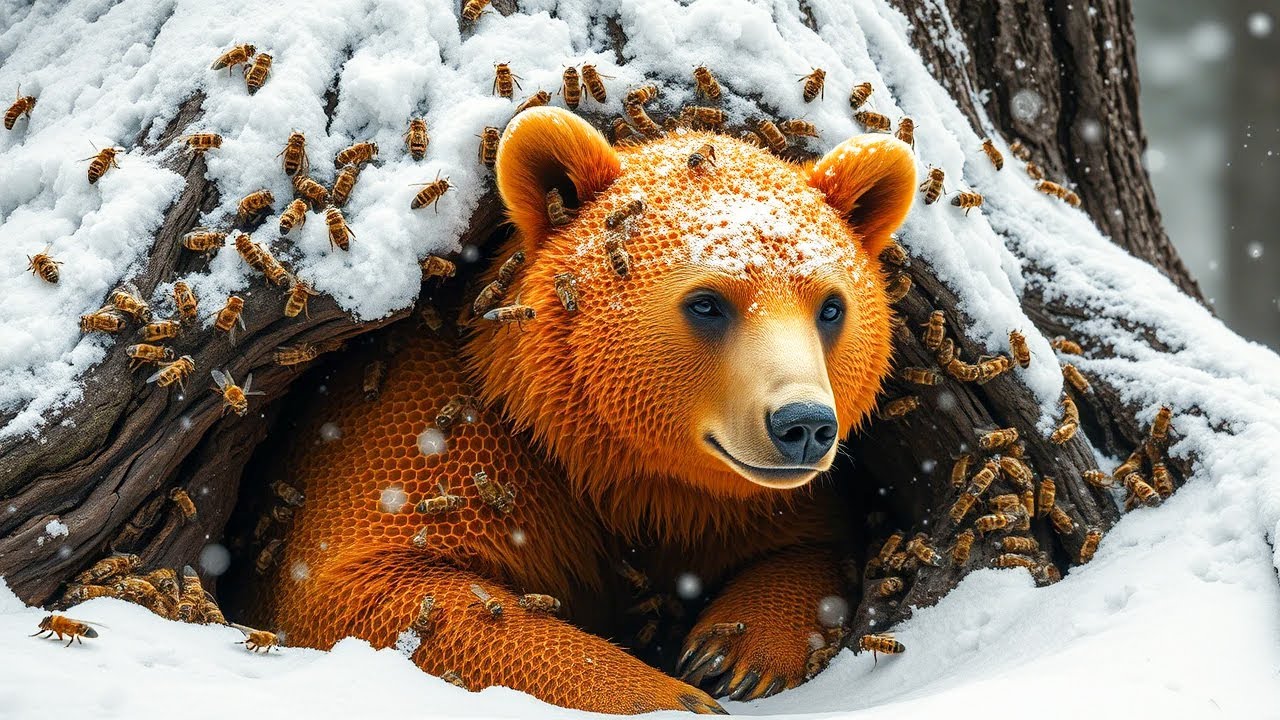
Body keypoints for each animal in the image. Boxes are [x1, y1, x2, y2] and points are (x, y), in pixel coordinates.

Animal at [257, 107, 916, 714]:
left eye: (832, 307)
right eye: (707, 303)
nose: (802, 425)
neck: (607, 463)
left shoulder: (726, 504)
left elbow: (811, 543)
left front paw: (735, 654)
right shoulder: (432, 429)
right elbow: (366, 586)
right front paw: (668, 695)